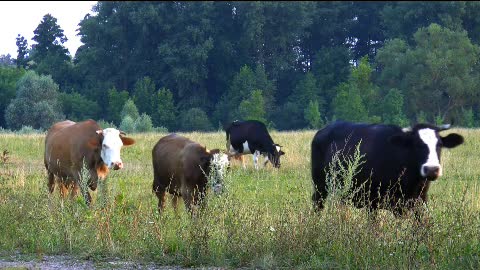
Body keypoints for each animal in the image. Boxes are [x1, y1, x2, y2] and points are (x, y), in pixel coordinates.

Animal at [312, 121, 464, 216]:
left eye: (439, 145)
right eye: (416, 144)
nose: (432, 169)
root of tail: (323, 130)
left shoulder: (420, 200)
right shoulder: (372, 201)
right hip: (320, 188)